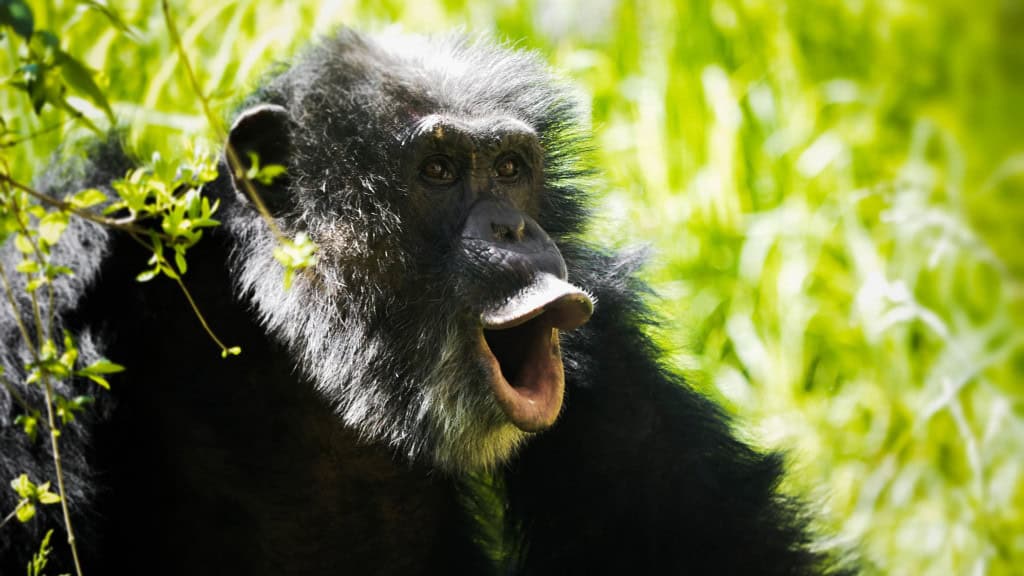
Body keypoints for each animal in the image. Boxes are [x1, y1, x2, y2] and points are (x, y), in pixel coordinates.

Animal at [0, 29, 853, 575]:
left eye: (510, 167)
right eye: (439, 170)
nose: (512, 228)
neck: (294, 356)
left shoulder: (607, 350)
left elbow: (699, 537)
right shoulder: (41, 309)